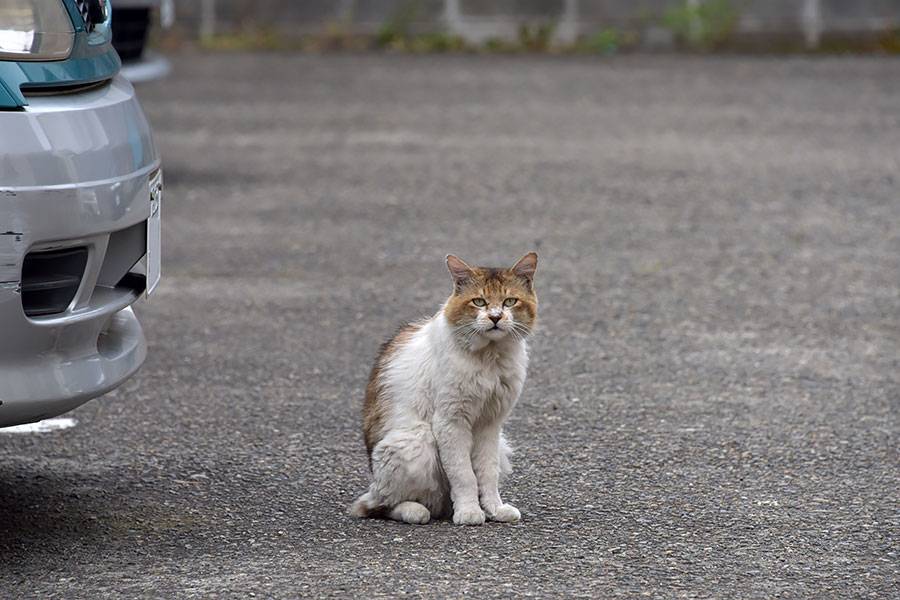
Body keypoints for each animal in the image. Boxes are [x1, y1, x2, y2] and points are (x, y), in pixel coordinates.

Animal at [350, 253, 536, 524]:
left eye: (510, 301)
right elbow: (464, 474)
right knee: (381, 505)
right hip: (417, 440)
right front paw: (469, 511)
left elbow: (486, 473)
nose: (495, 317)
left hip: (500, 445)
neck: (489, 357)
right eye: (479, 301)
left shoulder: (490, 424)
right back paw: (415, 510)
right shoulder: (450, 422)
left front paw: (493, 509)